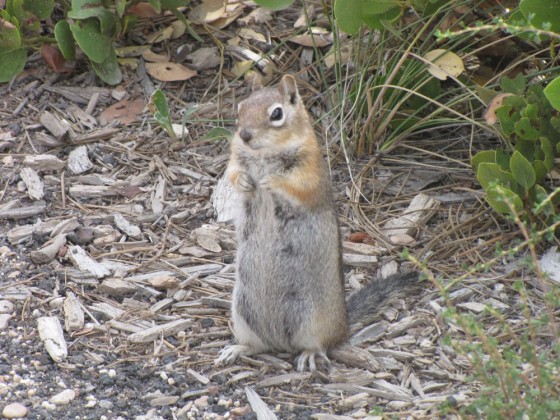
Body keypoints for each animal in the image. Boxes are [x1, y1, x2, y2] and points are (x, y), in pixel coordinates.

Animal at [217, 74, 418, 370]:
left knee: (320, 344)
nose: (244, 135)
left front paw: (272, 181)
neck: (265, 153)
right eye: (241, 107)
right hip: (242, 313)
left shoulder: (309, 169)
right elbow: (232, 172)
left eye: (276, 114)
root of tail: (344, 326)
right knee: (258, 345)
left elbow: (299, 188)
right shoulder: (235, 157)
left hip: (313, 321)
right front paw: (244, 180)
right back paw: (238, 349)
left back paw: (310, 354)